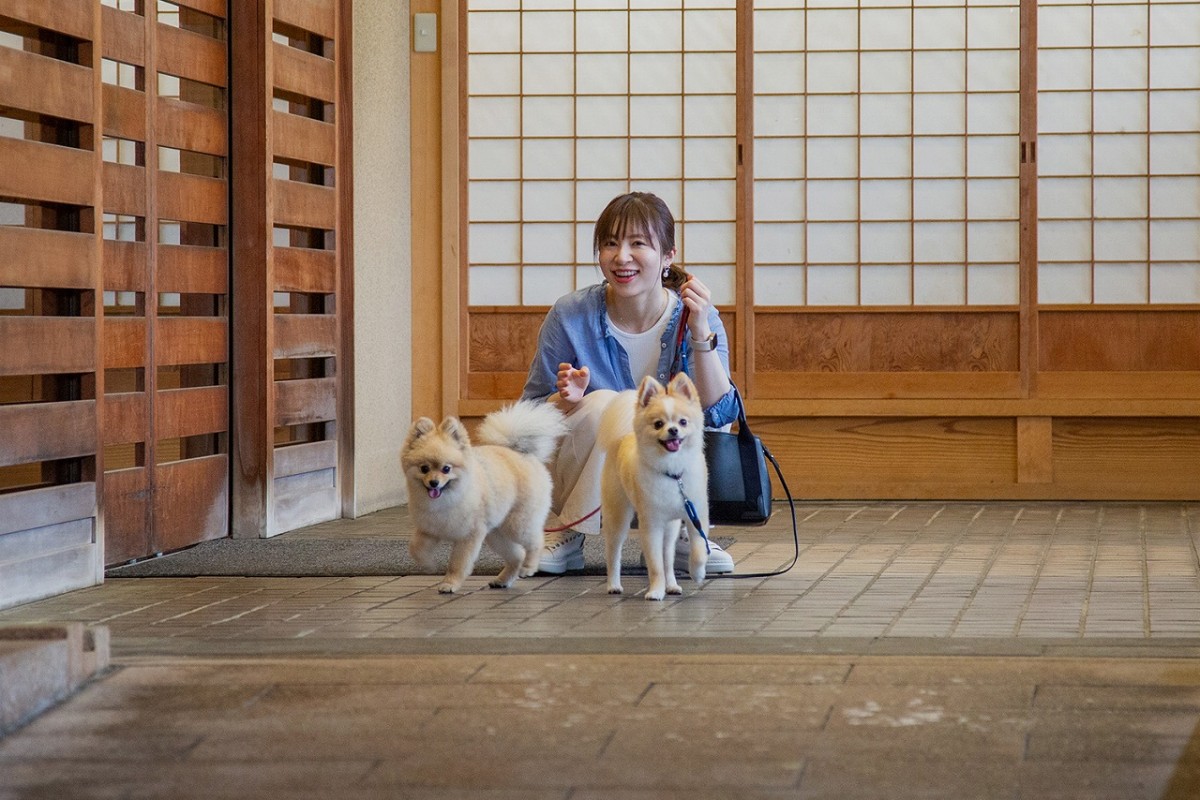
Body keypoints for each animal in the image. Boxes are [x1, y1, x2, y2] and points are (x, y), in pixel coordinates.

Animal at [400, 402, 564, 592]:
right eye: (424, 468)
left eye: (446, 469)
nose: (434, 483)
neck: (447, 499)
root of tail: (522, 453)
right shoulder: (429, 530)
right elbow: (415, 549)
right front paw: (428, 565)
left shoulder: (469, 536)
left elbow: (458, 563)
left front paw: (450, 583)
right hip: (496, 533)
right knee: (517, 554)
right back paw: (502, 580)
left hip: (518, 524)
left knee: (535, 542)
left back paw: (528, 568)